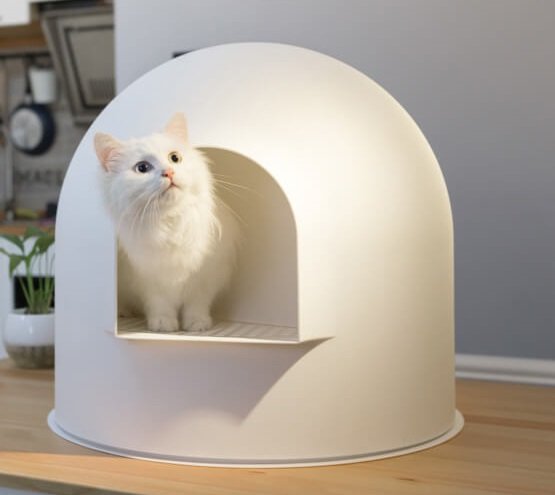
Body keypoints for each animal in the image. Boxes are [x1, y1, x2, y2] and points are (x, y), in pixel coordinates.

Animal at [93, 111, 239, 330]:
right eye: (142, 168)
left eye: (174, 158)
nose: (168, 172)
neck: (170, 222)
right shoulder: (150, 282)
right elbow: (160, 305)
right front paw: (164, 325)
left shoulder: (205, 278)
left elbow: (197, 304)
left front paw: (197, 325)